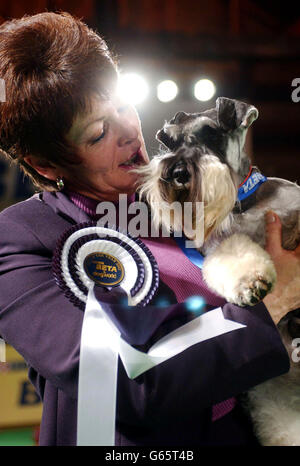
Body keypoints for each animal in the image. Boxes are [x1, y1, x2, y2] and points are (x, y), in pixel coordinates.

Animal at [138, 97, 300, 444]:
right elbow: (235, 257)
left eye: (211, 133)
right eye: (169, 142)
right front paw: (250, 283)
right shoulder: (220, 248)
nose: (176, 172)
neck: (242, 204)